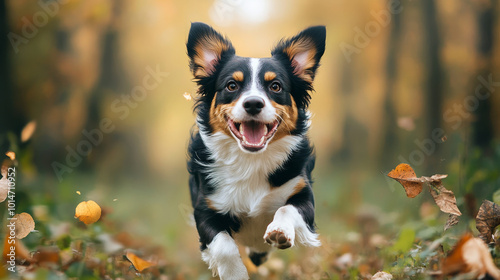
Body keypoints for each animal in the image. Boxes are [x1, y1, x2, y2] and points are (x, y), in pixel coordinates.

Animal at [186, 22, 326, 280]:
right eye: (232, 85)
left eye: (275, 86)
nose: (253, 103)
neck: (250, 159)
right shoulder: (205, 209)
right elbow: (223, 246)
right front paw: (235, 274)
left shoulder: (303, 195)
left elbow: (287, 208)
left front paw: (280, 230)